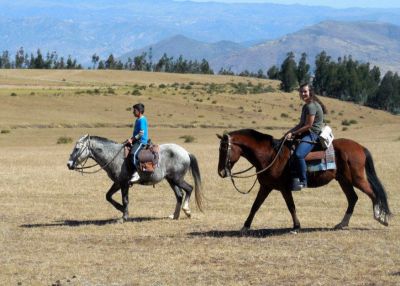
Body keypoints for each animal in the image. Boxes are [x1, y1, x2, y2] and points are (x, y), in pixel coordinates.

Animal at [67, 135, 203, 221]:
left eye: (77, 148)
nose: (69, 164)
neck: (114, 155)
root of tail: (186, 153)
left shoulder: (124, 184)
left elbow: (125, 200)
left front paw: (124, 216)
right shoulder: (117, 183)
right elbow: (108, 196)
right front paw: (121, 209)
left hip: (177, 179)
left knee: (189, 189)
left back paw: (187, 211)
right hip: (171, 180)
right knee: (179, 195)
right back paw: (174, 215)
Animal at [217, 129, 392, 232]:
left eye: (224, 149)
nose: (221, 172)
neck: (270, 155)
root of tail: (360, 147)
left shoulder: (284, 188)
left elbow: (291, 206)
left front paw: (296, 226)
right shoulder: (266, 187)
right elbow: (255, 206)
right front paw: (245, 227)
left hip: (356, 179)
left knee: (372, 194)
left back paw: (380, 218)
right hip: (344, 180)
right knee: (353, 198)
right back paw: (342, 224)